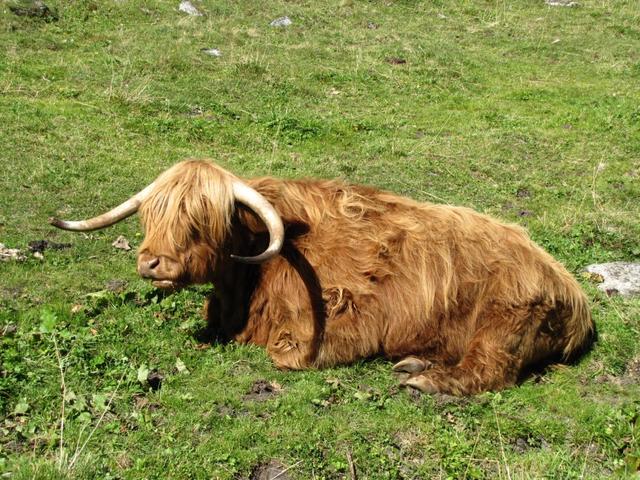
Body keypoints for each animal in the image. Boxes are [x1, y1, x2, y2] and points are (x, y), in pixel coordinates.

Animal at [51, 159, 596, 396]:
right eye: (152, 215)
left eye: (200, 218)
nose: (152, 263)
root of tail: (571, 290)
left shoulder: (347, 319)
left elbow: (285, 355)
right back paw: (415, 364)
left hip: (506, 320)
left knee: (488, 370)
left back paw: (424, 379)